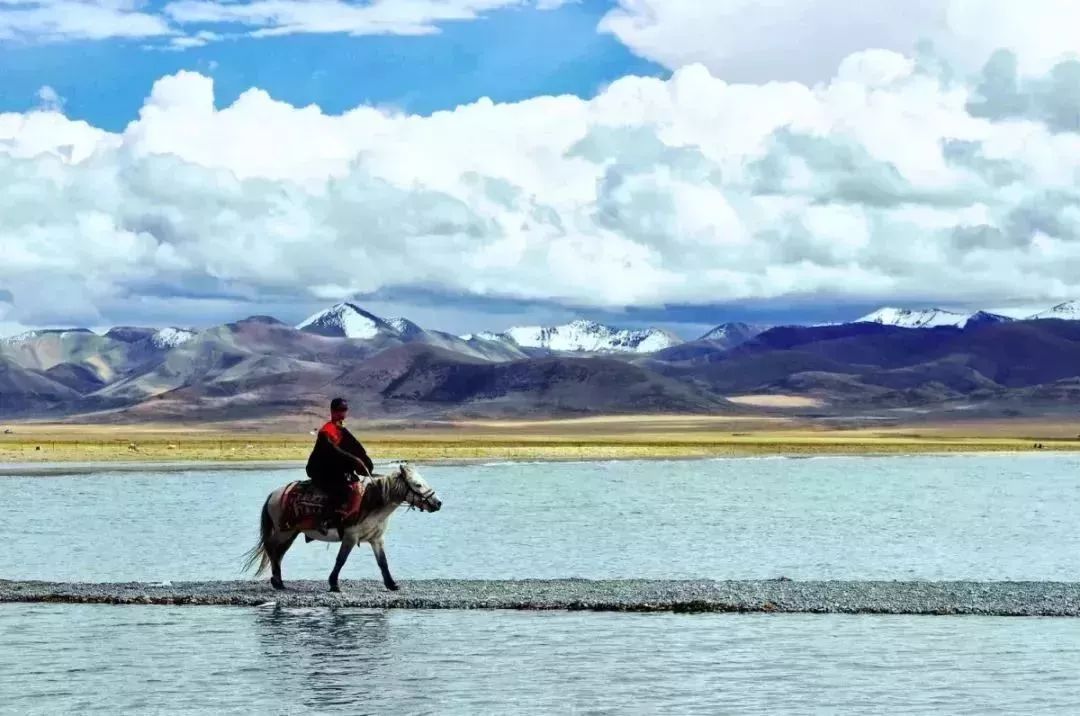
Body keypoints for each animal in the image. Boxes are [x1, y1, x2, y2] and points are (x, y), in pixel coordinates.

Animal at [245, 464, 442, 591]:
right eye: (417, 484)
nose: (438, 503)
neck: (371, 504)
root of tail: (274, 494)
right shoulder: (350, 537)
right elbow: (341, 560)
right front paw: (334, 584)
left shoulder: (376, 539)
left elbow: (382, 562)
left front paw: (392, 584)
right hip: (283, 531)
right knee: (272, 549)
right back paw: (277, 582)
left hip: (291, 532)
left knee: (278, 553)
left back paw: (279, 582)